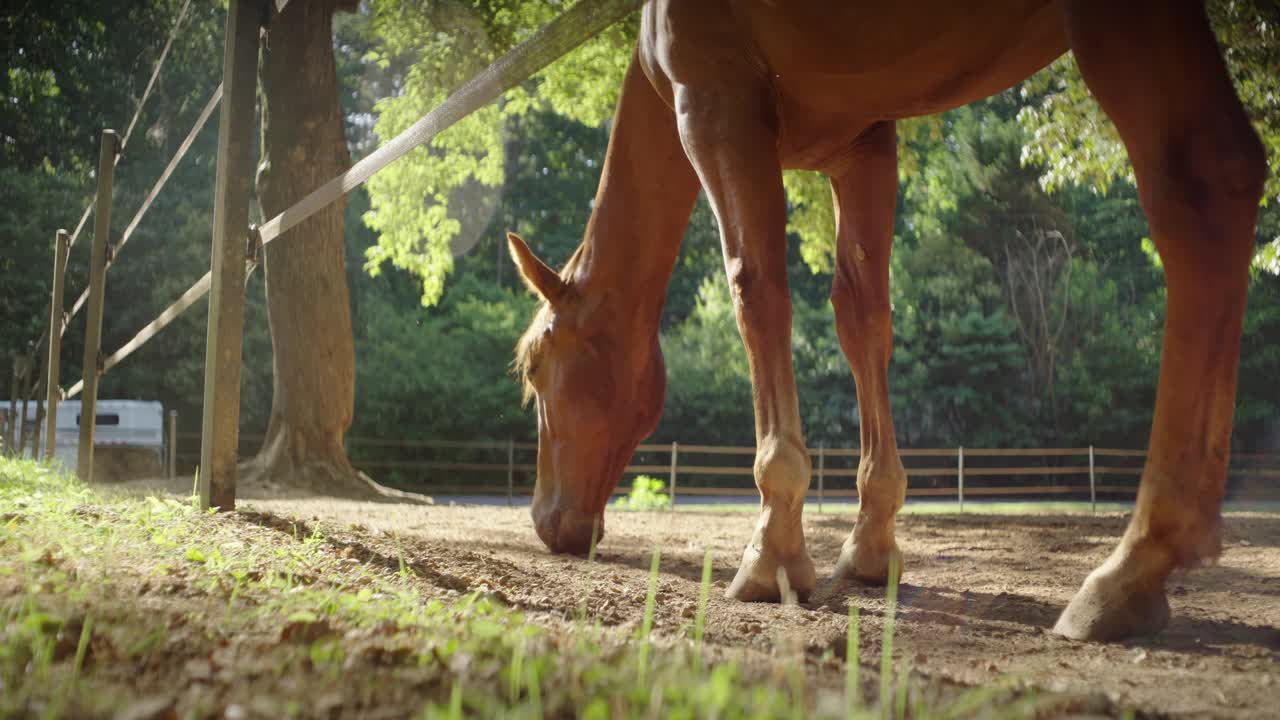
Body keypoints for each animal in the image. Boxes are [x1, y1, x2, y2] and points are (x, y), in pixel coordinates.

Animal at [504, 0, 1264, 638]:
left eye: (537, 371)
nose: (547, 522)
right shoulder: (862, 144)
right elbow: (861, 317)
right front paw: (870, 544)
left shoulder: (716, 108)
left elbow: (759, 290)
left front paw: (773, 550)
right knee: (1223, 174)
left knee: (1198, 187)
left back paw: (1131, 566)